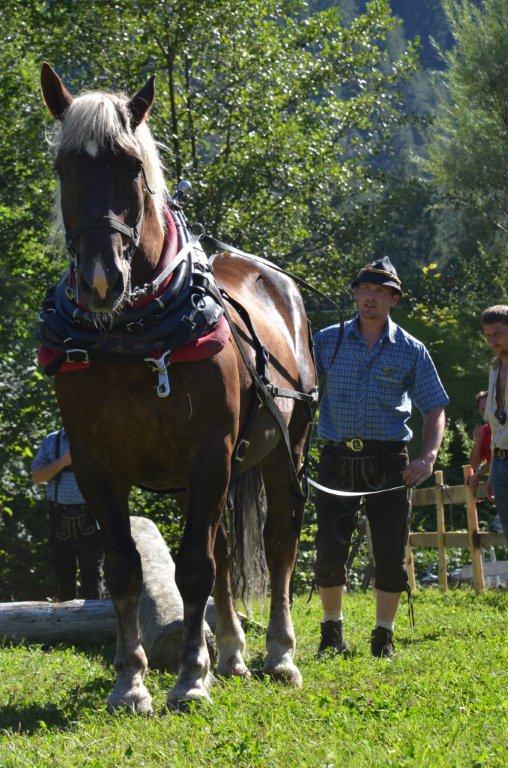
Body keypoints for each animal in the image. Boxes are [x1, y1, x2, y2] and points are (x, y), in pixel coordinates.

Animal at [39, 63, 317, 712]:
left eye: (131, 166)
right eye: (65, 168)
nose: (101, 280)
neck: (131, 338)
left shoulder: (209, 451)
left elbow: (192, 567)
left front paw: (190, 676)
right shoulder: (93, 463)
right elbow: (125, 566)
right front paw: (131, 682)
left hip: (283, 449)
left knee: (278, 542)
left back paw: (279, 654)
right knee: (223, 551)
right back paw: (233, 654)